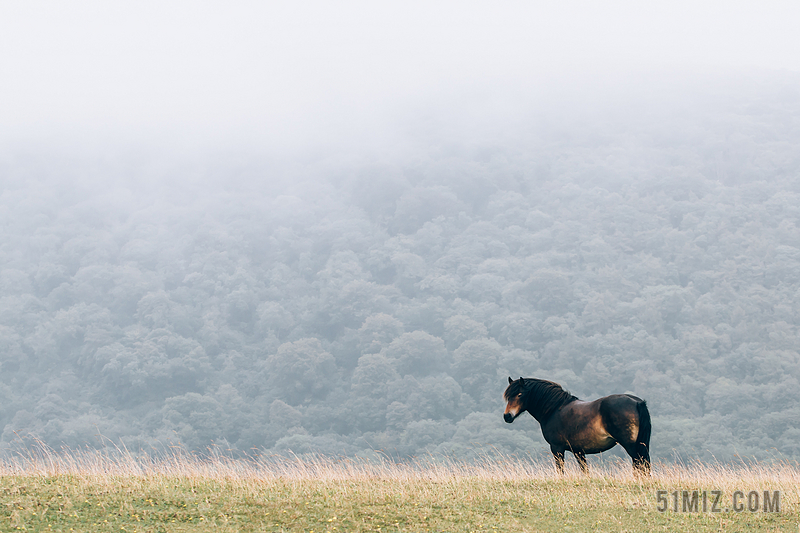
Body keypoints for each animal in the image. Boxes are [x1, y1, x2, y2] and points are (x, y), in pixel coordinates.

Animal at [504, 376, 652, 472]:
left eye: (519, 394)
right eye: (508, 396)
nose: (507, 416)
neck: (554, 409)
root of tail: (637, 402)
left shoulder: (557, 448)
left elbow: (560, 470)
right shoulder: (579, 451)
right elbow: (584, 471)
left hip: (631, 446)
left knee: (639, 464)